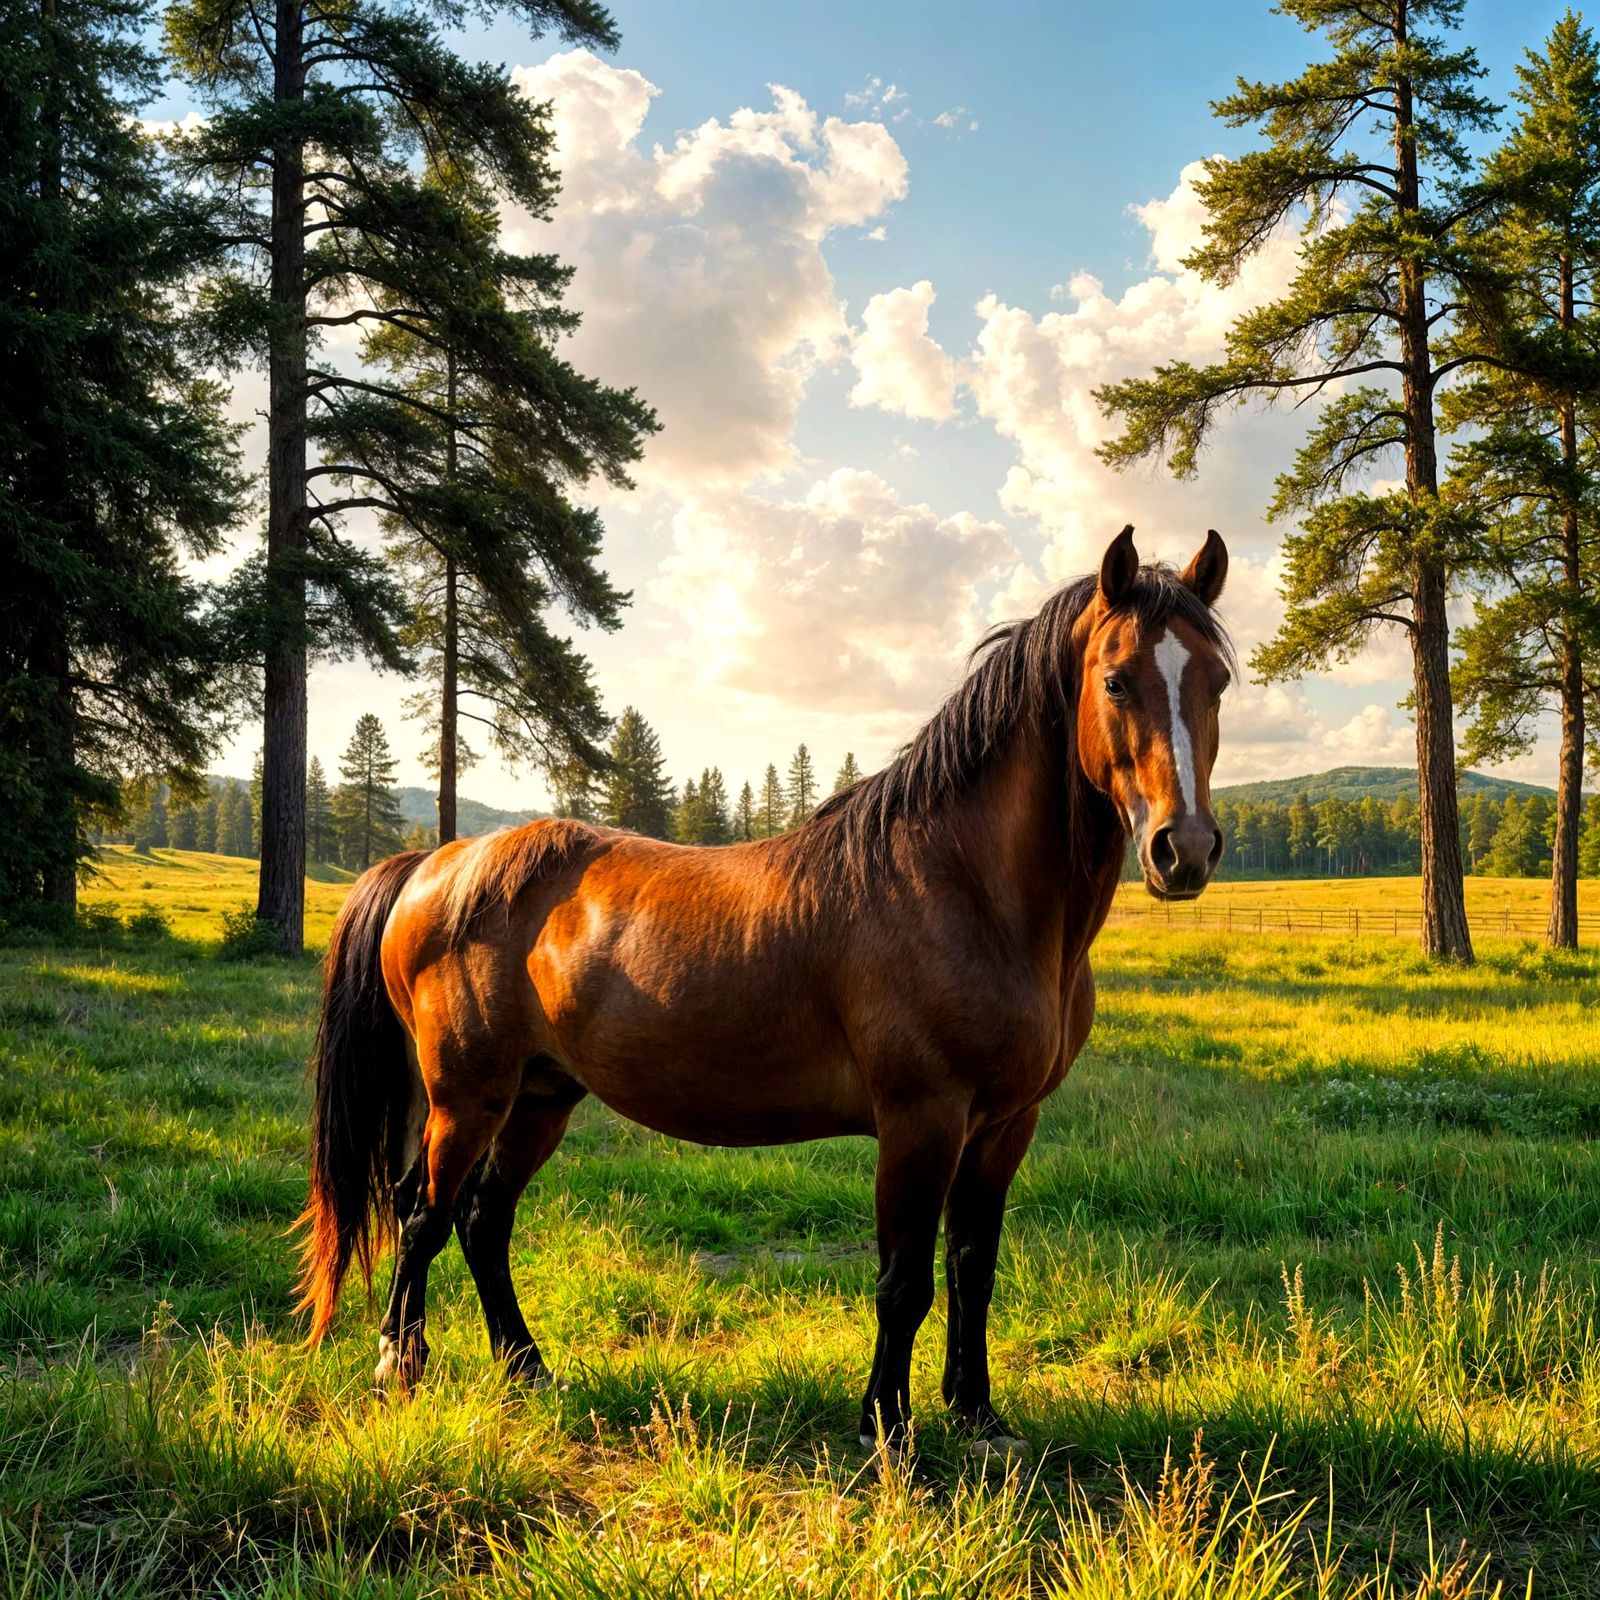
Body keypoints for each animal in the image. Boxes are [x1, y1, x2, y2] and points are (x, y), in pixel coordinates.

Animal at [296, 523, 1232, 1459]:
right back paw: (398, 1368)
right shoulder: (921, 1119)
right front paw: (888, 1430)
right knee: (423, 1214)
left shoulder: (1006, 1124)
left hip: (542, 1096)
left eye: (1217, 679)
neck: (963, 887)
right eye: (1115, 679)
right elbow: (905, 1282)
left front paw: (977, 1415)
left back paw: (528, 1368)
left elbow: (974, 1268)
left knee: (483, 1220)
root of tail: (437, 863)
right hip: (467, 1098)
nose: (1182, 850)